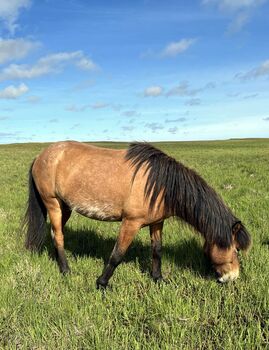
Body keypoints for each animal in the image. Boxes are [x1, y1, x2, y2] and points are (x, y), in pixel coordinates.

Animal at [22, 141, 250, 288]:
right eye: (236, 249)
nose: (232, 278)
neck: (160, 185)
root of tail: (41, 156)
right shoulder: (130, 223)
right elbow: (117, 255)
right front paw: (102, 284)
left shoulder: (157, 223)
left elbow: (157, 250)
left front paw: (158, 279)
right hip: (53, 204)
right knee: (58, 235)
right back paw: (66, 270)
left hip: (66, 207)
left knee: (55, 233)